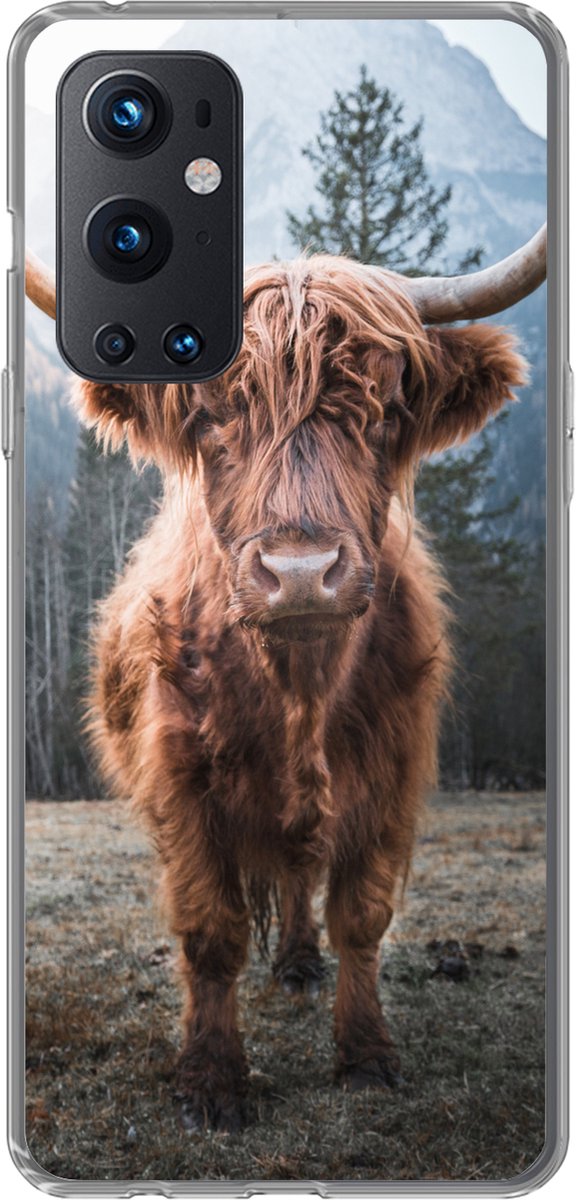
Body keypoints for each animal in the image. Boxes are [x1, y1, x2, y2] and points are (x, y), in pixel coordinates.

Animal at [26, 226, 546, 1132]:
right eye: (209, 415)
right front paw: (210, 1081)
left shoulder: (392, 775)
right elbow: (211, 929)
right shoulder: (181, 783)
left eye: (383, 412)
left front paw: (367, 1057)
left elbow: (362, 917)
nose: (301, 574)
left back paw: (302, 964)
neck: (300, 687)